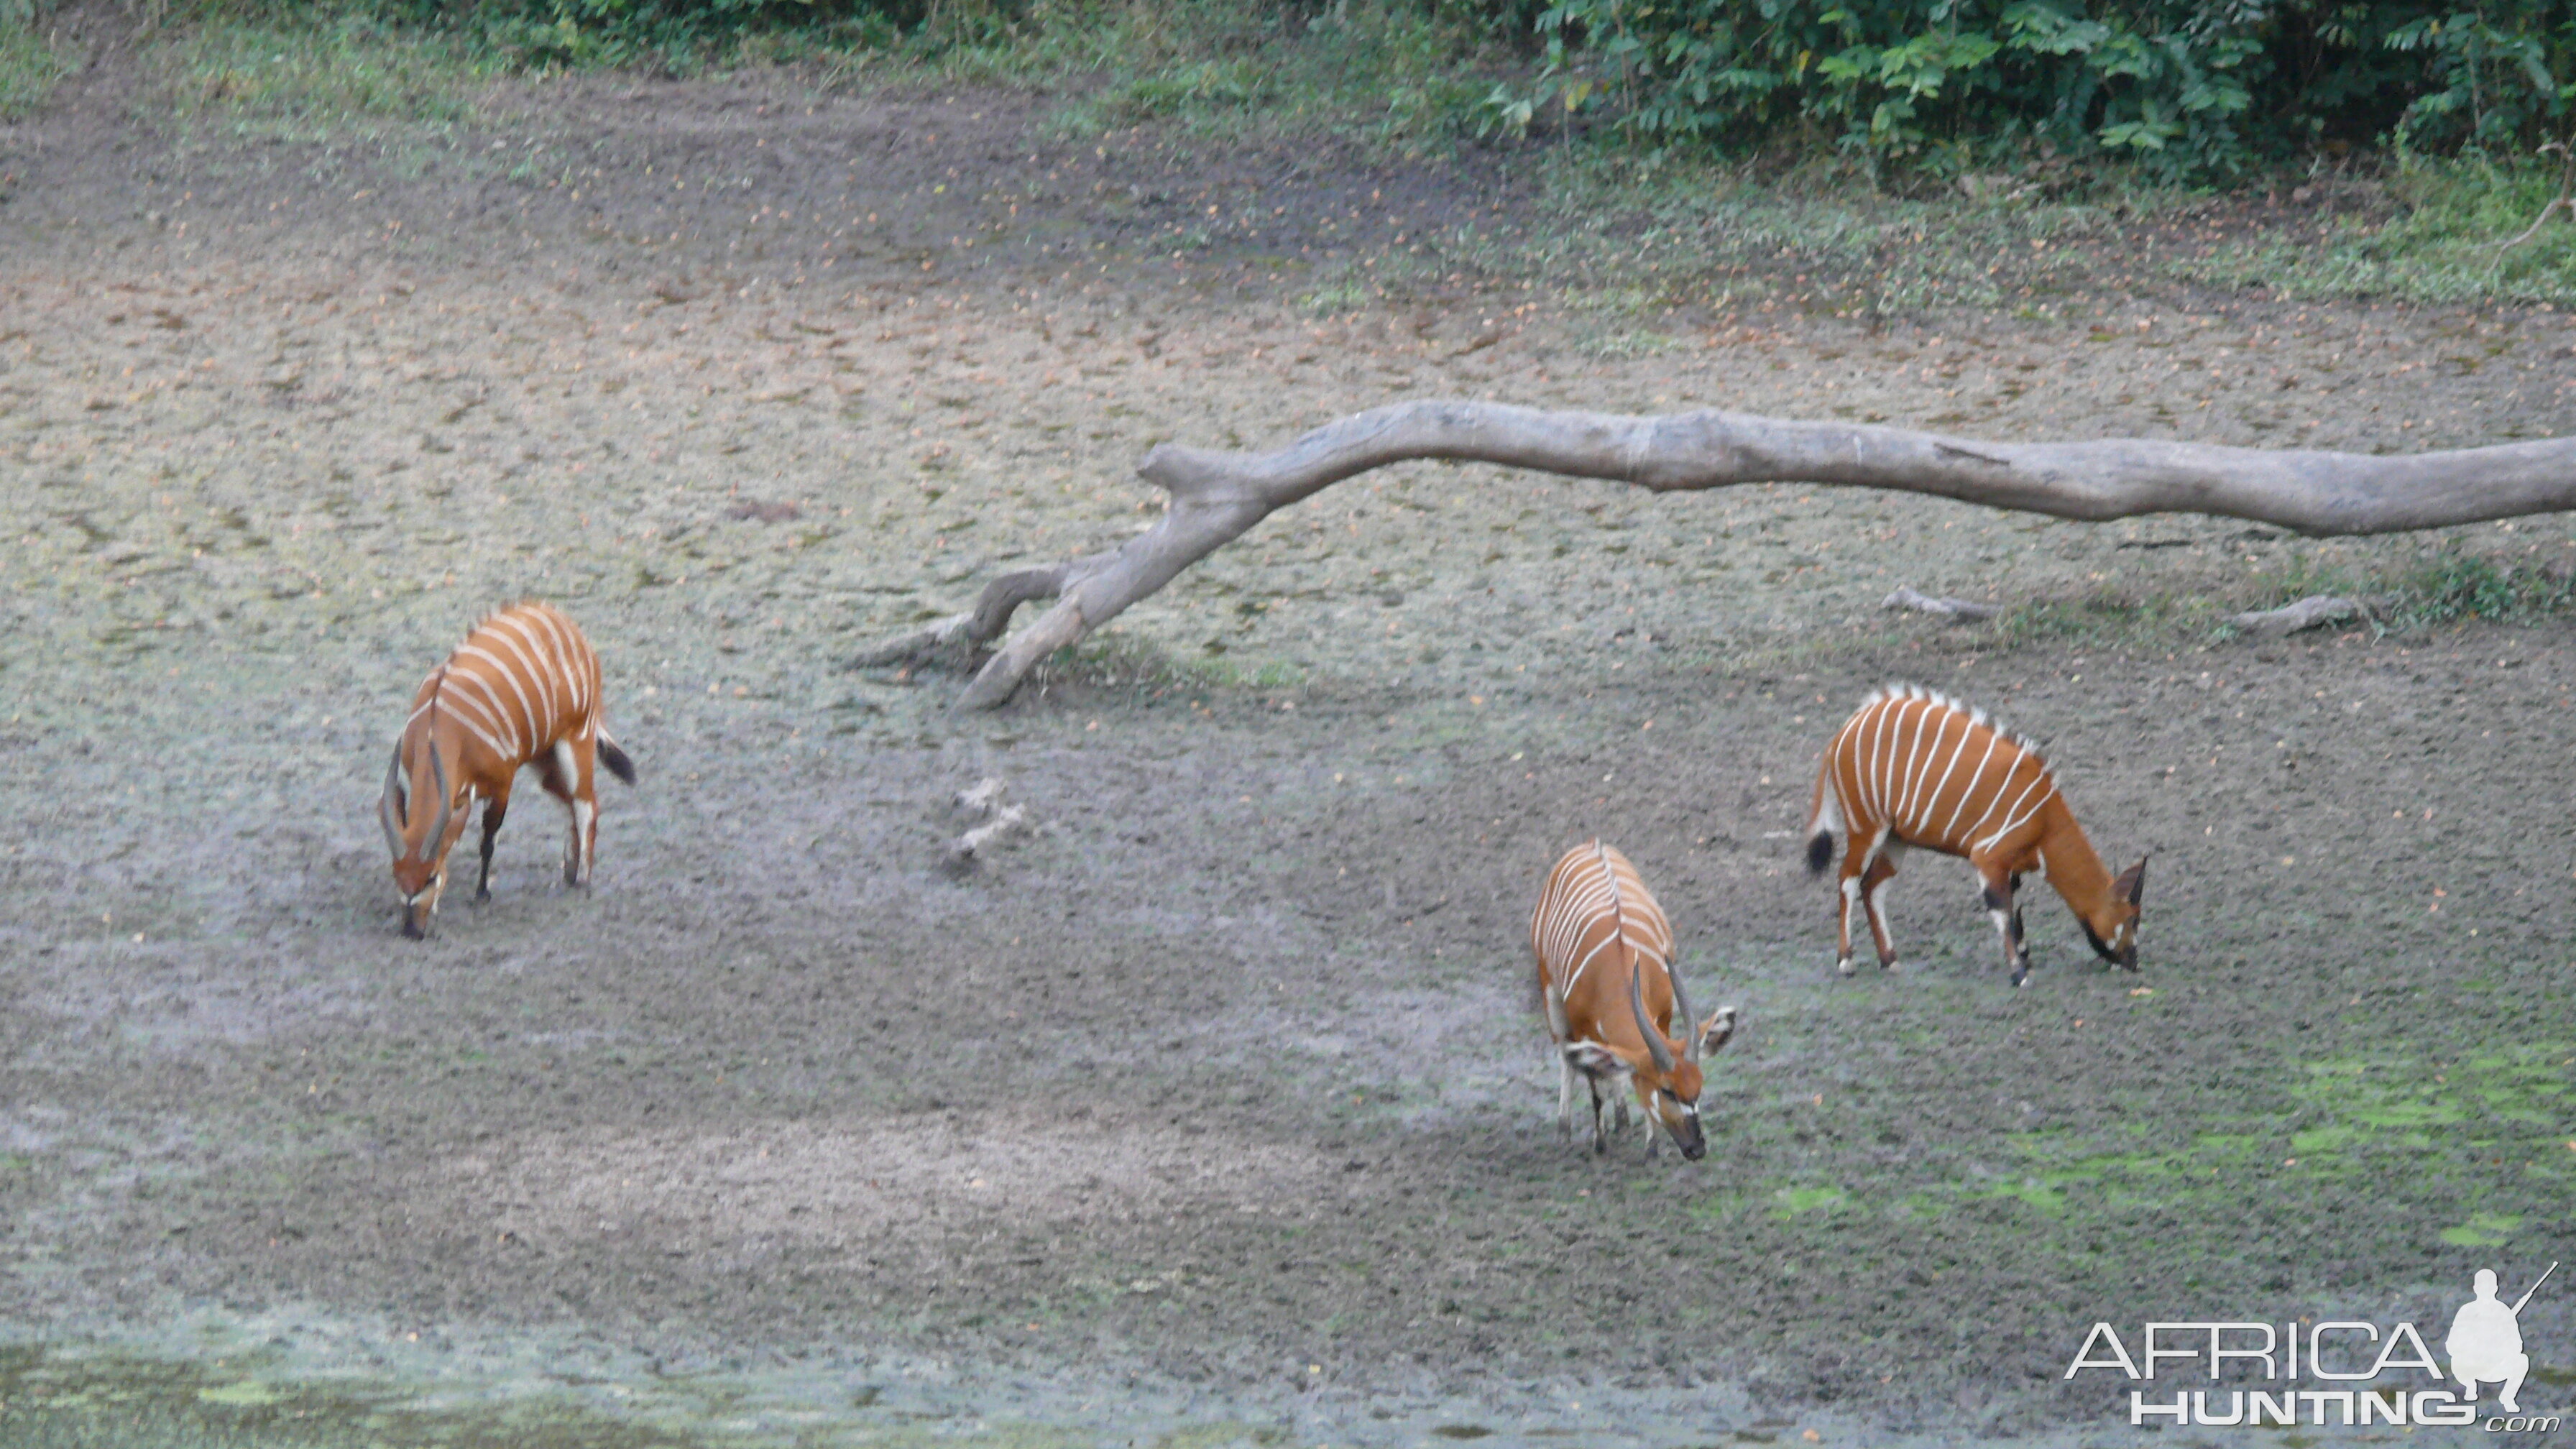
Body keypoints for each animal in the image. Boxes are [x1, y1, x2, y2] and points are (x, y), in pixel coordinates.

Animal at [376, 598, 638, 938]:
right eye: (397, 875)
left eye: (431, 876)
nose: (412, 930)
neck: (441, 726)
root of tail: (565, 623)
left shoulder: (502, 785)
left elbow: (488, 840)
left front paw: (482, 894)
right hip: (545, 759)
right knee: (568, 803)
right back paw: (568, 872)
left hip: (577, 738)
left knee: (586, 804)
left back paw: (582, 879)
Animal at [1535, 840, 1741, 1155]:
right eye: (1667, 1089)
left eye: (1698, 1085)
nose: (1697, 1148)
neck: (1618, 963)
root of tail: (1592, 844)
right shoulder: (1581, 1027)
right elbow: (1595, 1083)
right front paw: (1600, 1143)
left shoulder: (1663, 1015)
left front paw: (1651, 1145)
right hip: (1551, 994)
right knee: (1568, 1060)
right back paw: (1564, 1129)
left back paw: (1622, 1121)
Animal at [1813, 686, 2153, 980]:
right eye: (2132, 918)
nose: (2133, 962)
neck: (2045, 818)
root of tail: (1842, 733)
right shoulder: (1988, 858)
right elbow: (2001, 910)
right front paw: (2019, 973)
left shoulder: (2011, 865)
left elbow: (2014, 905)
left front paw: (2025, 957)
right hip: (1866, 827)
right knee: (1848, 879)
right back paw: (1846, 960)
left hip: (1896, 838)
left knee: (1873, 886)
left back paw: (1890, 959)